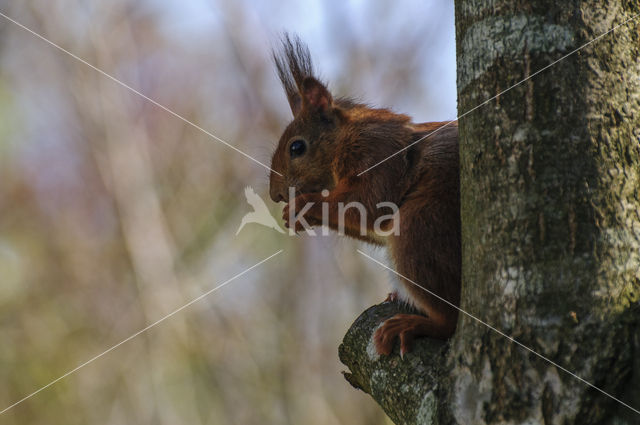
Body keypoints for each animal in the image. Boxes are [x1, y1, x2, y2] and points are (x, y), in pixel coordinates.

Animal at [266, 35, 460, 354]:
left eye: (296, 147)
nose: (276, 195)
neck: (345, 137)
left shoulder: (377, 153)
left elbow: (369, 203)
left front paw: (305, 205)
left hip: (421, 229)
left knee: (450, 321)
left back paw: (416, 324)